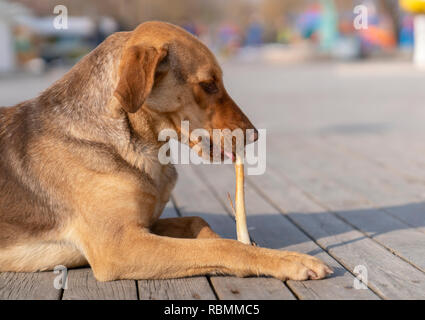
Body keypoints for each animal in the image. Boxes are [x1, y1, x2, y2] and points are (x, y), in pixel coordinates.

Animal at [0, 22, 332, 282]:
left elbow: (200, 224)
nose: (253, 135)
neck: (142, 148)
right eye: (209, 84)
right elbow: (224, 246)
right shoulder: (120, 245)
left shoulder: (145, 226)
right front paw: (285, 259)